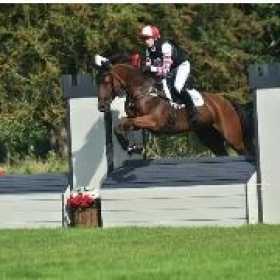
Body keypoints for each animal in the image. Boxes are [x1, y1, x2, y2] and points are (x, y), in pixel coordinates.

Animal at [94, 61, 256, 156]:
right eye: (96, 82)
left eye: (106, 81)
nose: (101, 107)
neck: (143, 91)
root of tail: (227, 102)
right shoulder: (139, 121)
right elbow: (121, 126)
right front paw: (130, 147)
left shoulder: (154, 121)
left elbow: (127, 122)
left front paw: (131, 147)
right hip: (209, 136)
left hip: (232, 137)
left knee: (245, 151)